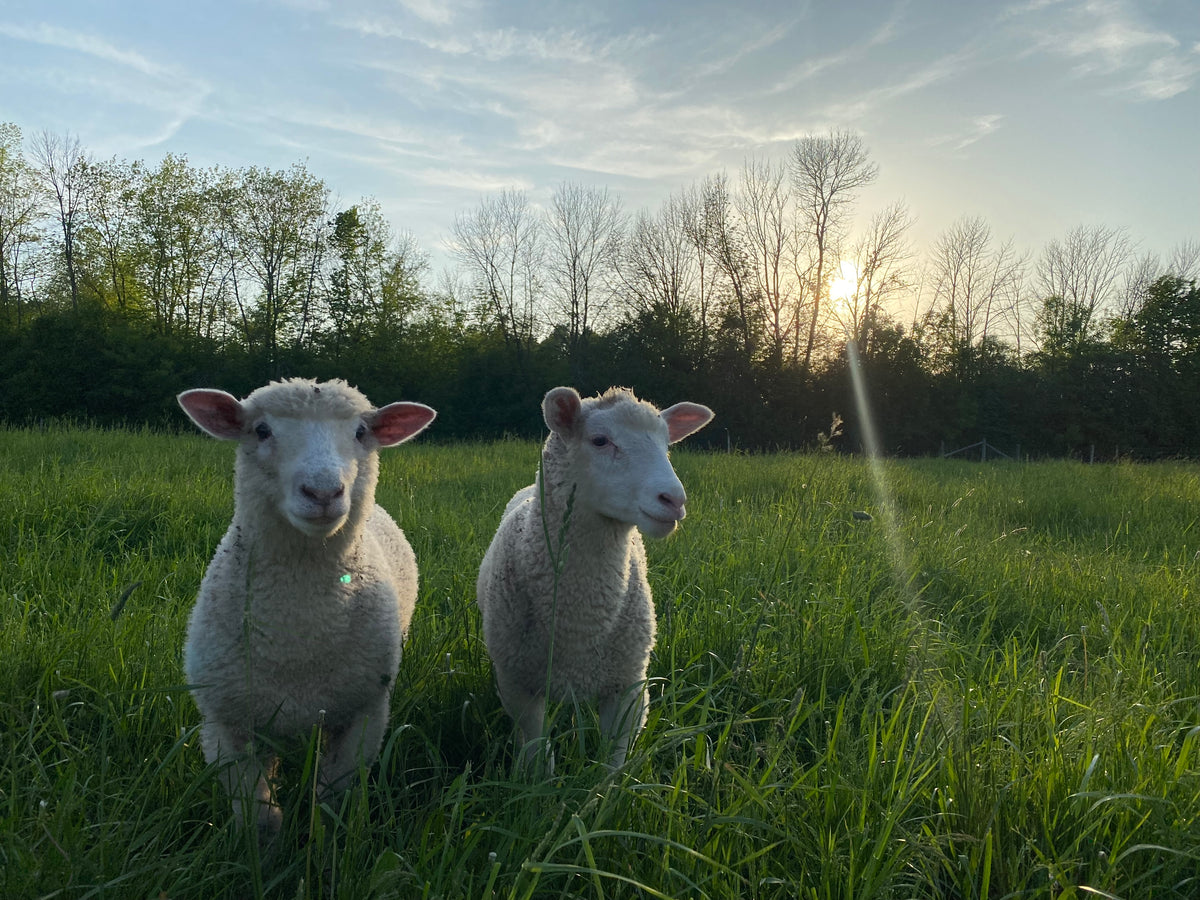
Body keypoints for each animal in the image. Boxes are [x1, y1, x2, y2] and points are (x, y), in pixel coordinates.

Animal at [177, 377, 436, 833]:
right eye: (261, 430)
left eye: (360, 432)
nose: (323, 492)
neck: (298, 635)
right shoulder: (225, 724)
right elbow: (261, 820)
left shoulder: (363, 715)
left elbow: (331, 804)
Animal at [477, 386, 713, 771]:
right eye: (600, 440)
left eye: (667, 444)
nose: (674, 500)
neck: (581, 621)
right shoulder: (518, 683)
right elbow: (537, 750)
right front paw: (535, 781)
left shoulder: (628, 686)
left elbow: (612, 763)